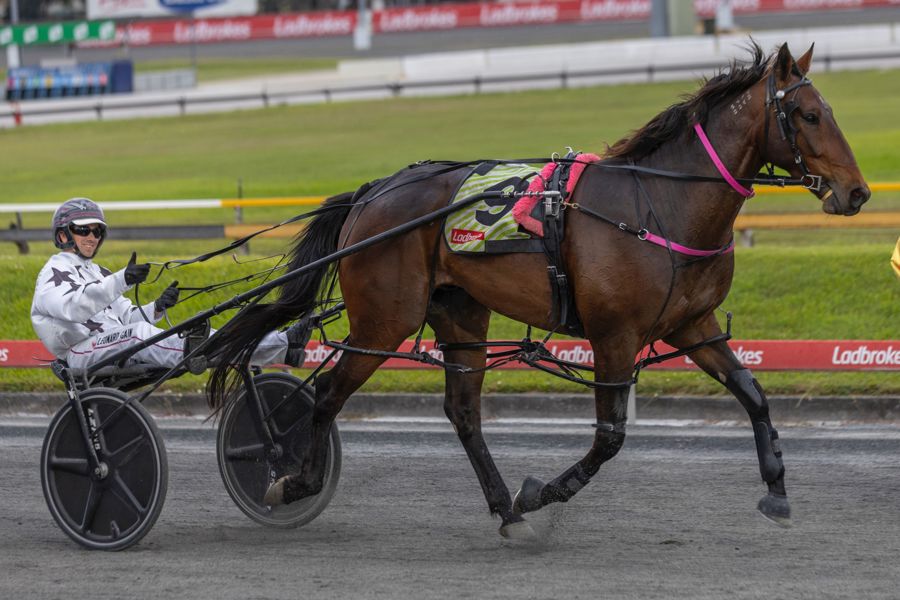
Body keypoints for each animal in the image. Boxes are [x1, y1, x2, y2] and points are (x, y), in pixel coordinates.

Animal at [208, 42, 869, 538]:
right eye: (809, 115)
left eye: (830, 110)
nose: (857, 192)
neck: (659, 205)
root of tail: (375, 192)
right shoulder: (614, 335)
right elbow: (609, 439)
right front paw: (542, 492)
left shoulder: (693, 324)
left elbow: (753, 394)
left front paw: (777, 487)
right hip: (385, 317)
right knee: (327, 392)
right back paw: (291, 478)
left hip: (460, 314)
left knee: (463, 413)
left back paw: (503, 508)